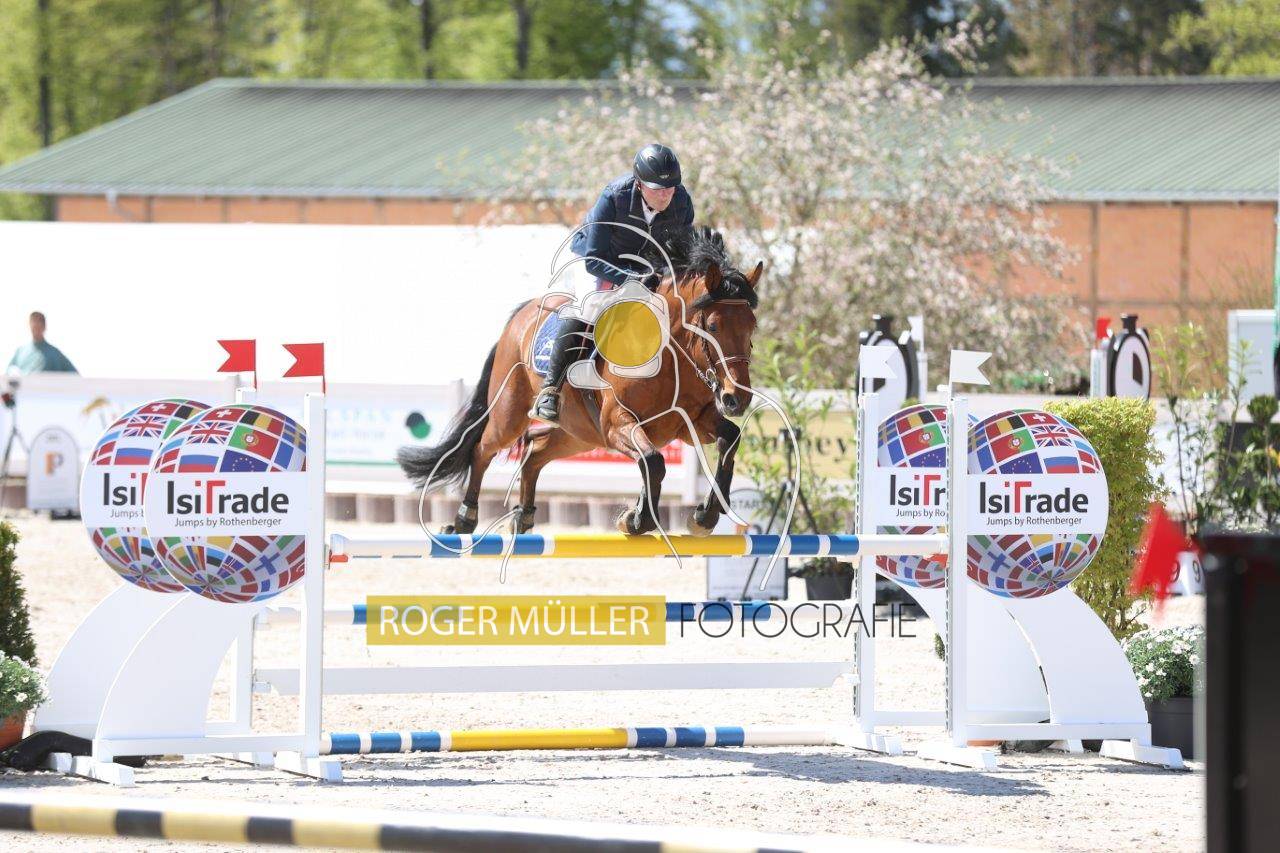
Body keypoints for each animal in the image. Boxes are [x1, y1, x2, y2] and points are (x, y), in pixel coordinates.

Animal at [397, 228, 762, 537]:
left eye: (752, 326)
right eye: (712, 326)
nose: (736, 398)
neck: (672, 358)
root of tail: (522, 314)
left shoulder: (690, 422)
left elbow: (728, 440)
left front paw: (704, 516)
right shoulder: (617, 424)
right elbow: (653, 462)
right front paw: (638, 519)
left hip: (579, 433)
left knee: (535, 451)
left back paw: (523, 516)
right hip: (511, 414)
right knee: (483, 448)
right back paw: (464, 519)